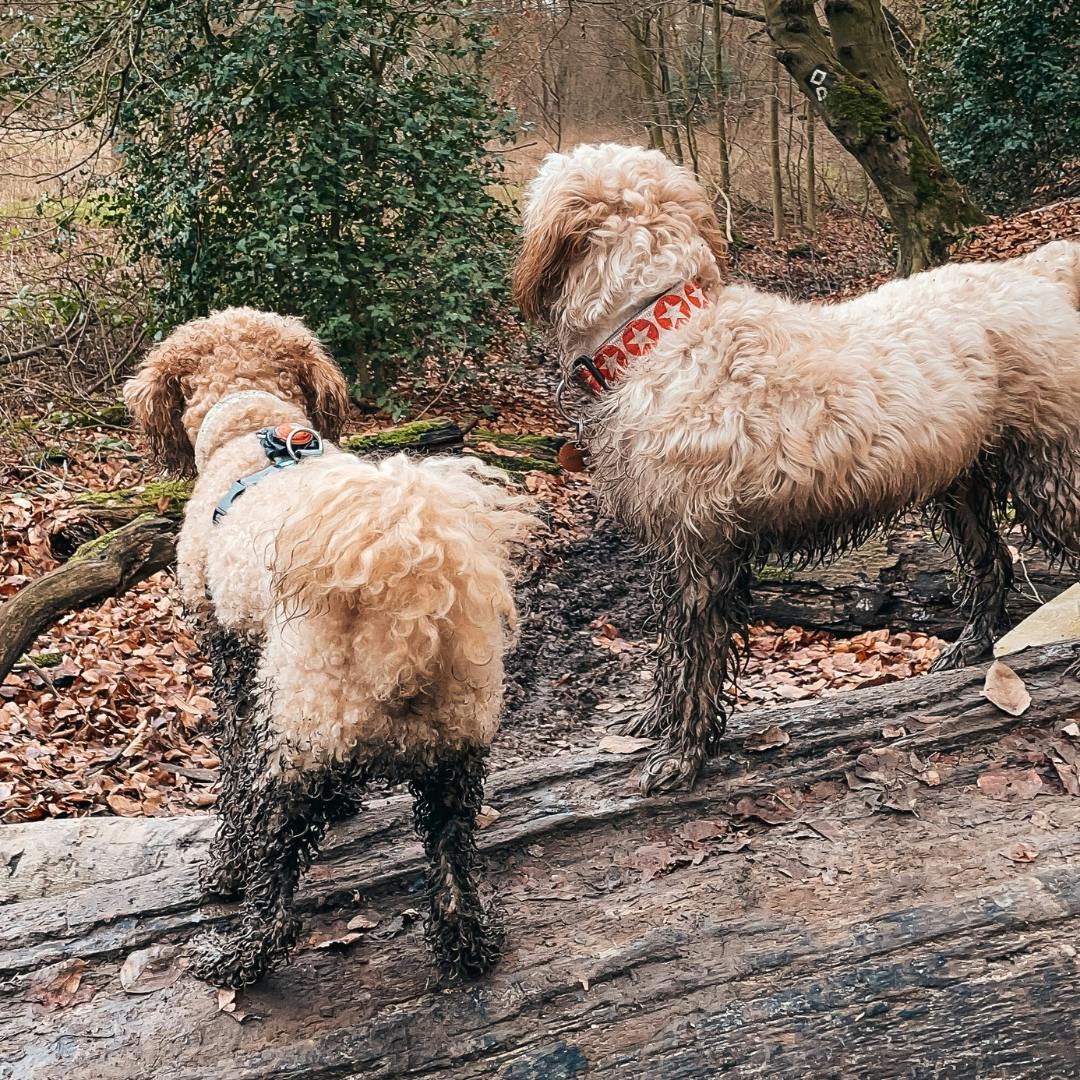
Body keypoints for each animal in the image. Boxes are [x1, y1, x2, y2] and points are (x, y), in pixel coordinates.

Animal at [124, 306, 533, 989]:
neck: (252, 423)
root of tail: (408, 610)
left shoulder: (235, 665)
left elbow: (233, 773)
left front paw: (225, 865)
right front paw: (342, 805)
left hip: (299, 740)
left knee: (277, 888)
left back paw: (235, 955)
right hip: (455, 755)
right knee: (453, 864)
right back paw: (466, 946)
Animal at [511, 143, 1080, 794]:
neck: (664, 332)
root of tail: (1039, 274)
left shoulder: (701, 554)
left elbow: (695, 656)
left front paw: (681, 752)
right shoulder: (676, 550)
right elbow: (672, 649)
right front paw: (653, 721)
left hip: (1048, 473)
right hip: (960, 486)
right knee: (993, 562)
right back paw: (968, 649)